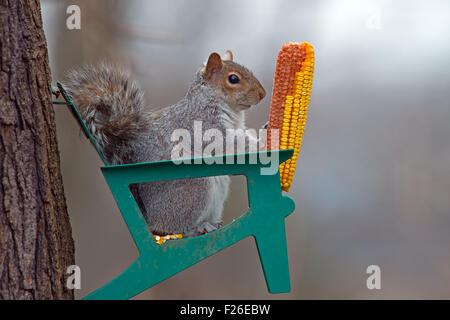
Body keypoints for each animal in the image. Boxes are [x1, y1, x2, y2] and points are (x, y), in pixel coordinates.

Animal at [63, 50, 268, 238]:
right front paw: (263, 141)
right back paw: (196, 228)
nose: (262, 94)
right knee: (171, 229)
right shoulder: (203, 125)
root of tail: (149, 218)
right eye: (233, 79)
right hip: (194, 188)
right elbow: (227, 142)